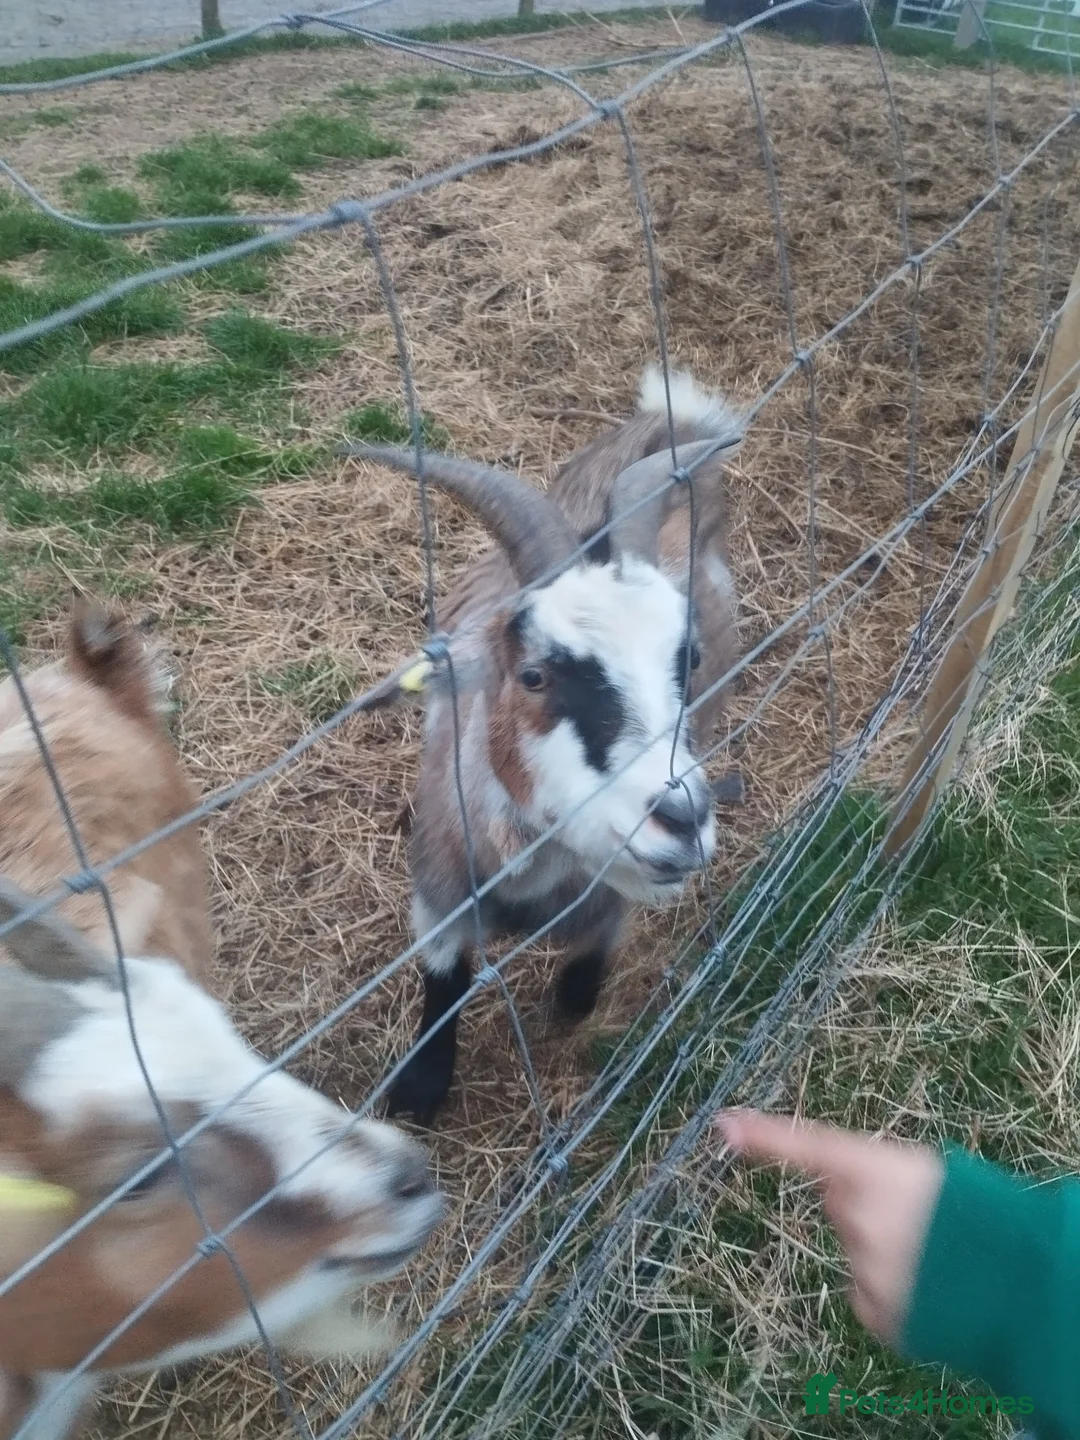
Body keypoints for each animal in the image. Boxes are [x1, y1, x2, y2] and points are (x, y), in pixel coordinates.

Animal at [345, 366, 746, 1124]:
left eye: (689, 660)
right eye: (532, 674)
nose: (681, 821)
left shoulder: (611, 905)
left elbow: (585, 977)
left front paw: (567, 1007)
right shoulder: (437, 895)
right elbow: (444, 982)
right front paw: (419, 1091)